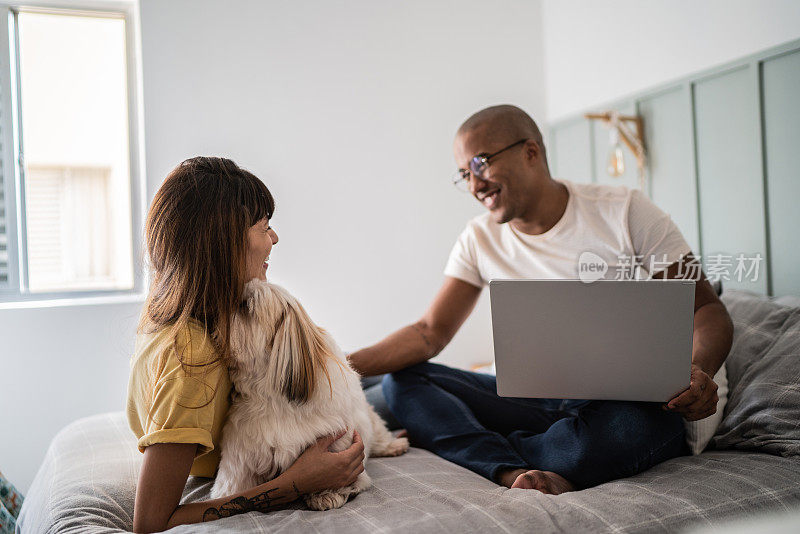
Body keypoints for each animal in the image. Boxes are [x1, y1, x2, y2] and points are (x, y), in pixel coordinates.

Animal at [211, 280, 406, 510]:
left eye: (244, 305)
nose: (216, 309)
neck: (271, 397)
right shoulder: (243, 451)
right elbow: (235, 482)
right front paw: (228, 499)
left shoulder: (336, 442)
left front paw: (327, 492)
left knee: (379, 435)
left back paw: (393, 446)